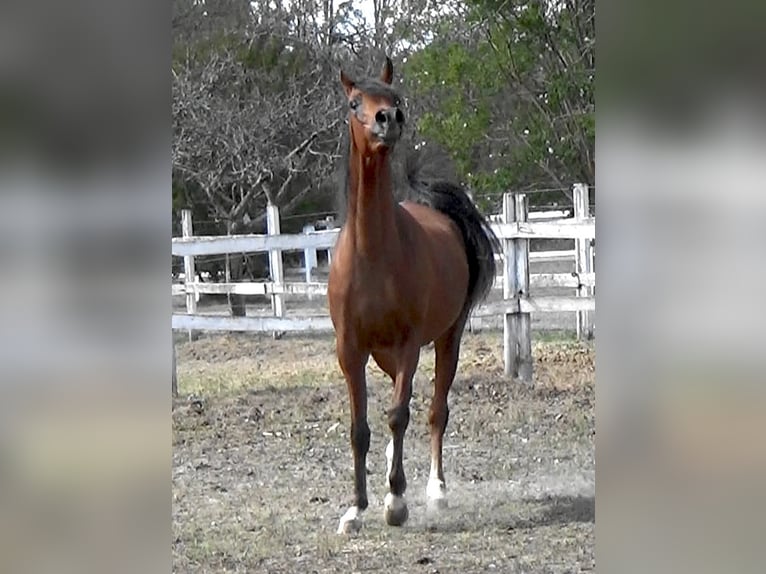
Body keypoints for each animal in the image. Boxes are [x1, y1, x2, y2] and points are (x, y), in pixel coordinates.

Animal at [327, 57, 499, 534]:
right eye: (355, 102)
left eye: (394, 96)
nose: (390, 119)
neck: (372, 255)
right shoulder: (350, 351)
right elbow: (360, 428)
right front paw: (355, 509)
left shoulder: (408, 346)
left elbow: (400, 415)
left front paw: (396, 502)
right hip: (384, 353)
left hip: (447, 340)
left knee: (436, 411)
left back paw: (435, 490)